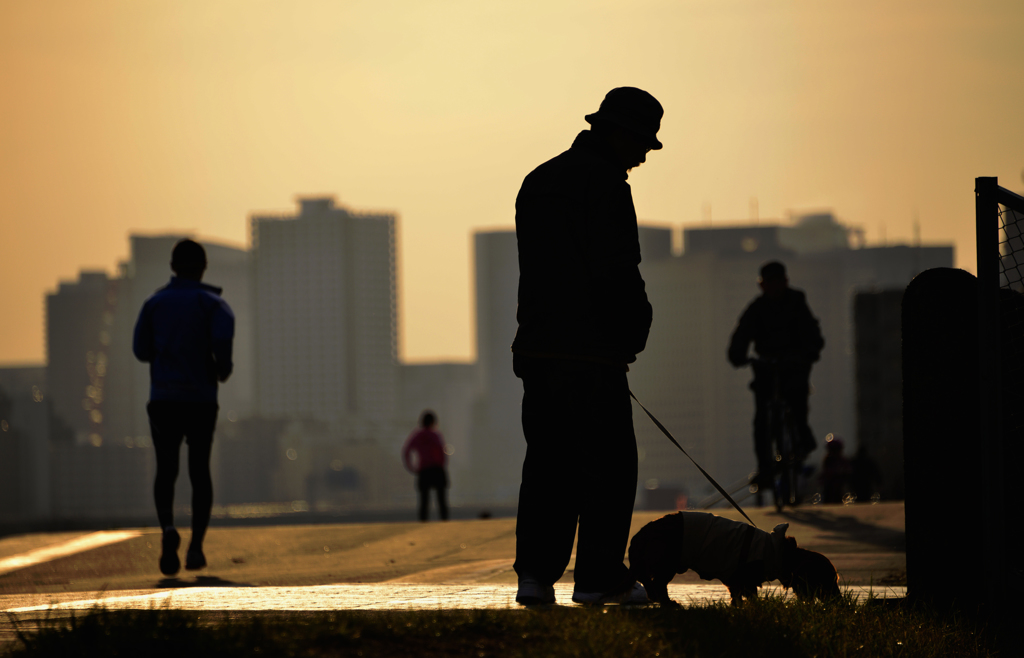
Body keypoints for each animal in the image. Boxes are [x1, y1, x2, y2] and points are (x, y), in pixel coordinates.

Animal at [630, 509, 839, 605]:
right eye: (829, 579)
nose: (840, 602)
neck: (780, 553)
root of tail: (642, 533)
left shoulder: (737, 580)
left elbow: (738, 595)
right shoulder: (743, 577)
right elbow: (748, 595)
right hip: (668, 563)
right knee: (658, 583)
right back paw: (668, 603)